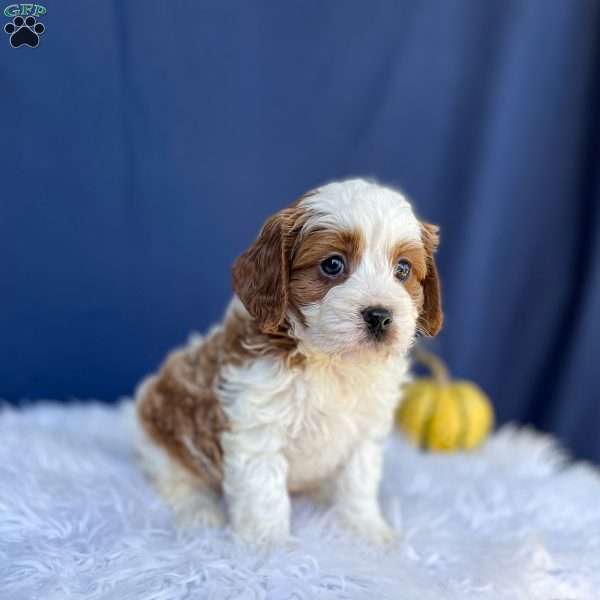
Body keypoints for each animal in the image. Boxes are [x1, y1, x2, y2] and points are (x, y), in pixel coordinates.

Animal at [137, 177, 446, 544]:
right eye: (332, 265)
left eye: (403, 269)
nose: (380, 316)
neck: (332, 360)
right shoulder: (258, 428)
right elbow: (264, 494)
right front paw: (269, 546)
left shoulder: (364, 433)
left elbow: (357, 485)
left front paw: (368, 530)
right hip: (163, 434)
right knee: (180, 481)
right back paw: (199, 512)